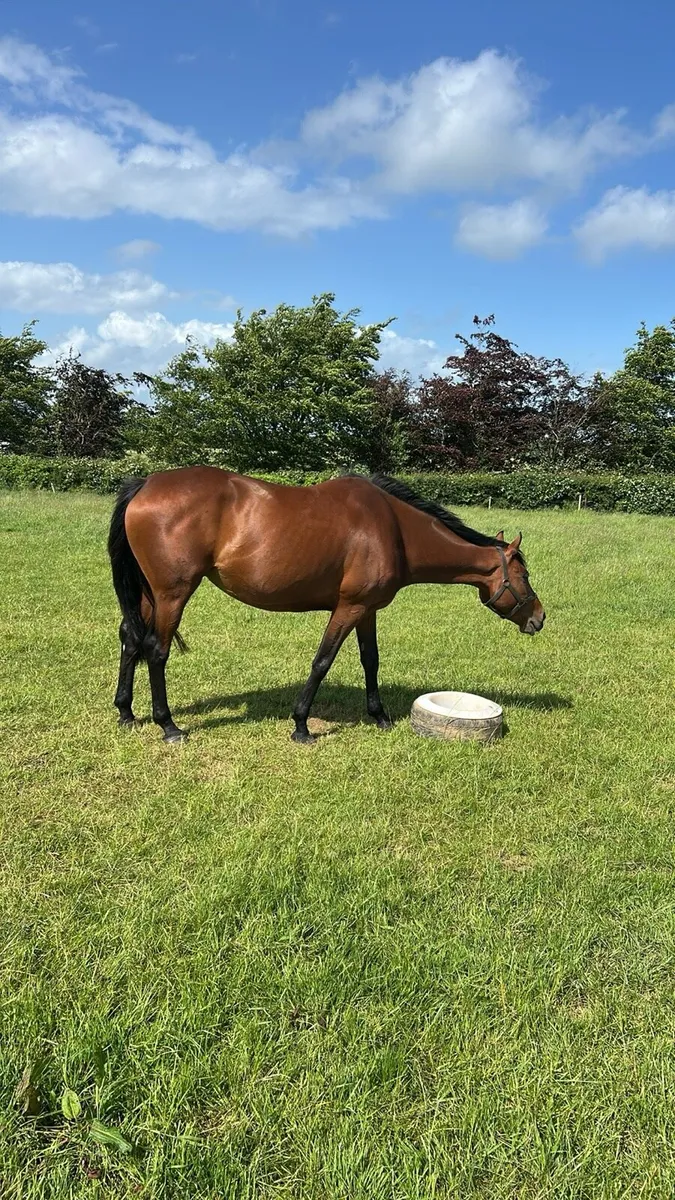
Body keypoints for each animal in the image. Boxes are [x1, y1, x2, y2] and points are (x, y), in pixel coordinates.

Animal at [107, 468, 545, 745]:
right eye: (524, 575)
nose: (539, 618)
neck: (395, 530)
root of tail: (145, 484)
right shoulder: (348, 608)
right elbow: (322, 661)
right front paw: (301, 725)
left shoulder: (367, 610)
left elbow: (371, 661)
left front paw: (380, 716)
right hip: (173, 594)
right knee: (156, 651)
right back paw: (168, 726)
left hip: (148, 594)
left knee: (130, 638)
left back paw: (126, 713)